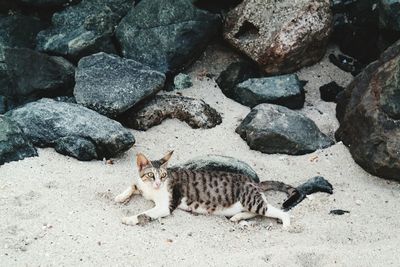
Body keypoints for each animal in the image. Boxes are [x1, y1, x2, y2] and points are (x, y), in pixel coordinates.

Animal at [114, 153, 296, 228]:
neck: (151, 190)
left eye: (163, 175)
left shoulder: (165, 206)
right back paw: (237, 217)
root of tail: (253, 182)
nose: (158, 183)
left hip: (251, 199)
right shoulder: (143, 186)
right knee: (256, 212)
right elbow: (133, 185)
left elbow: (144, 214)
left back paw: (286, 224)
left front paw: (129, 219)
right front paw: (120, 196)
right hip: (249, 202)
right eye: (151, 175)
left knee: (277, 211)